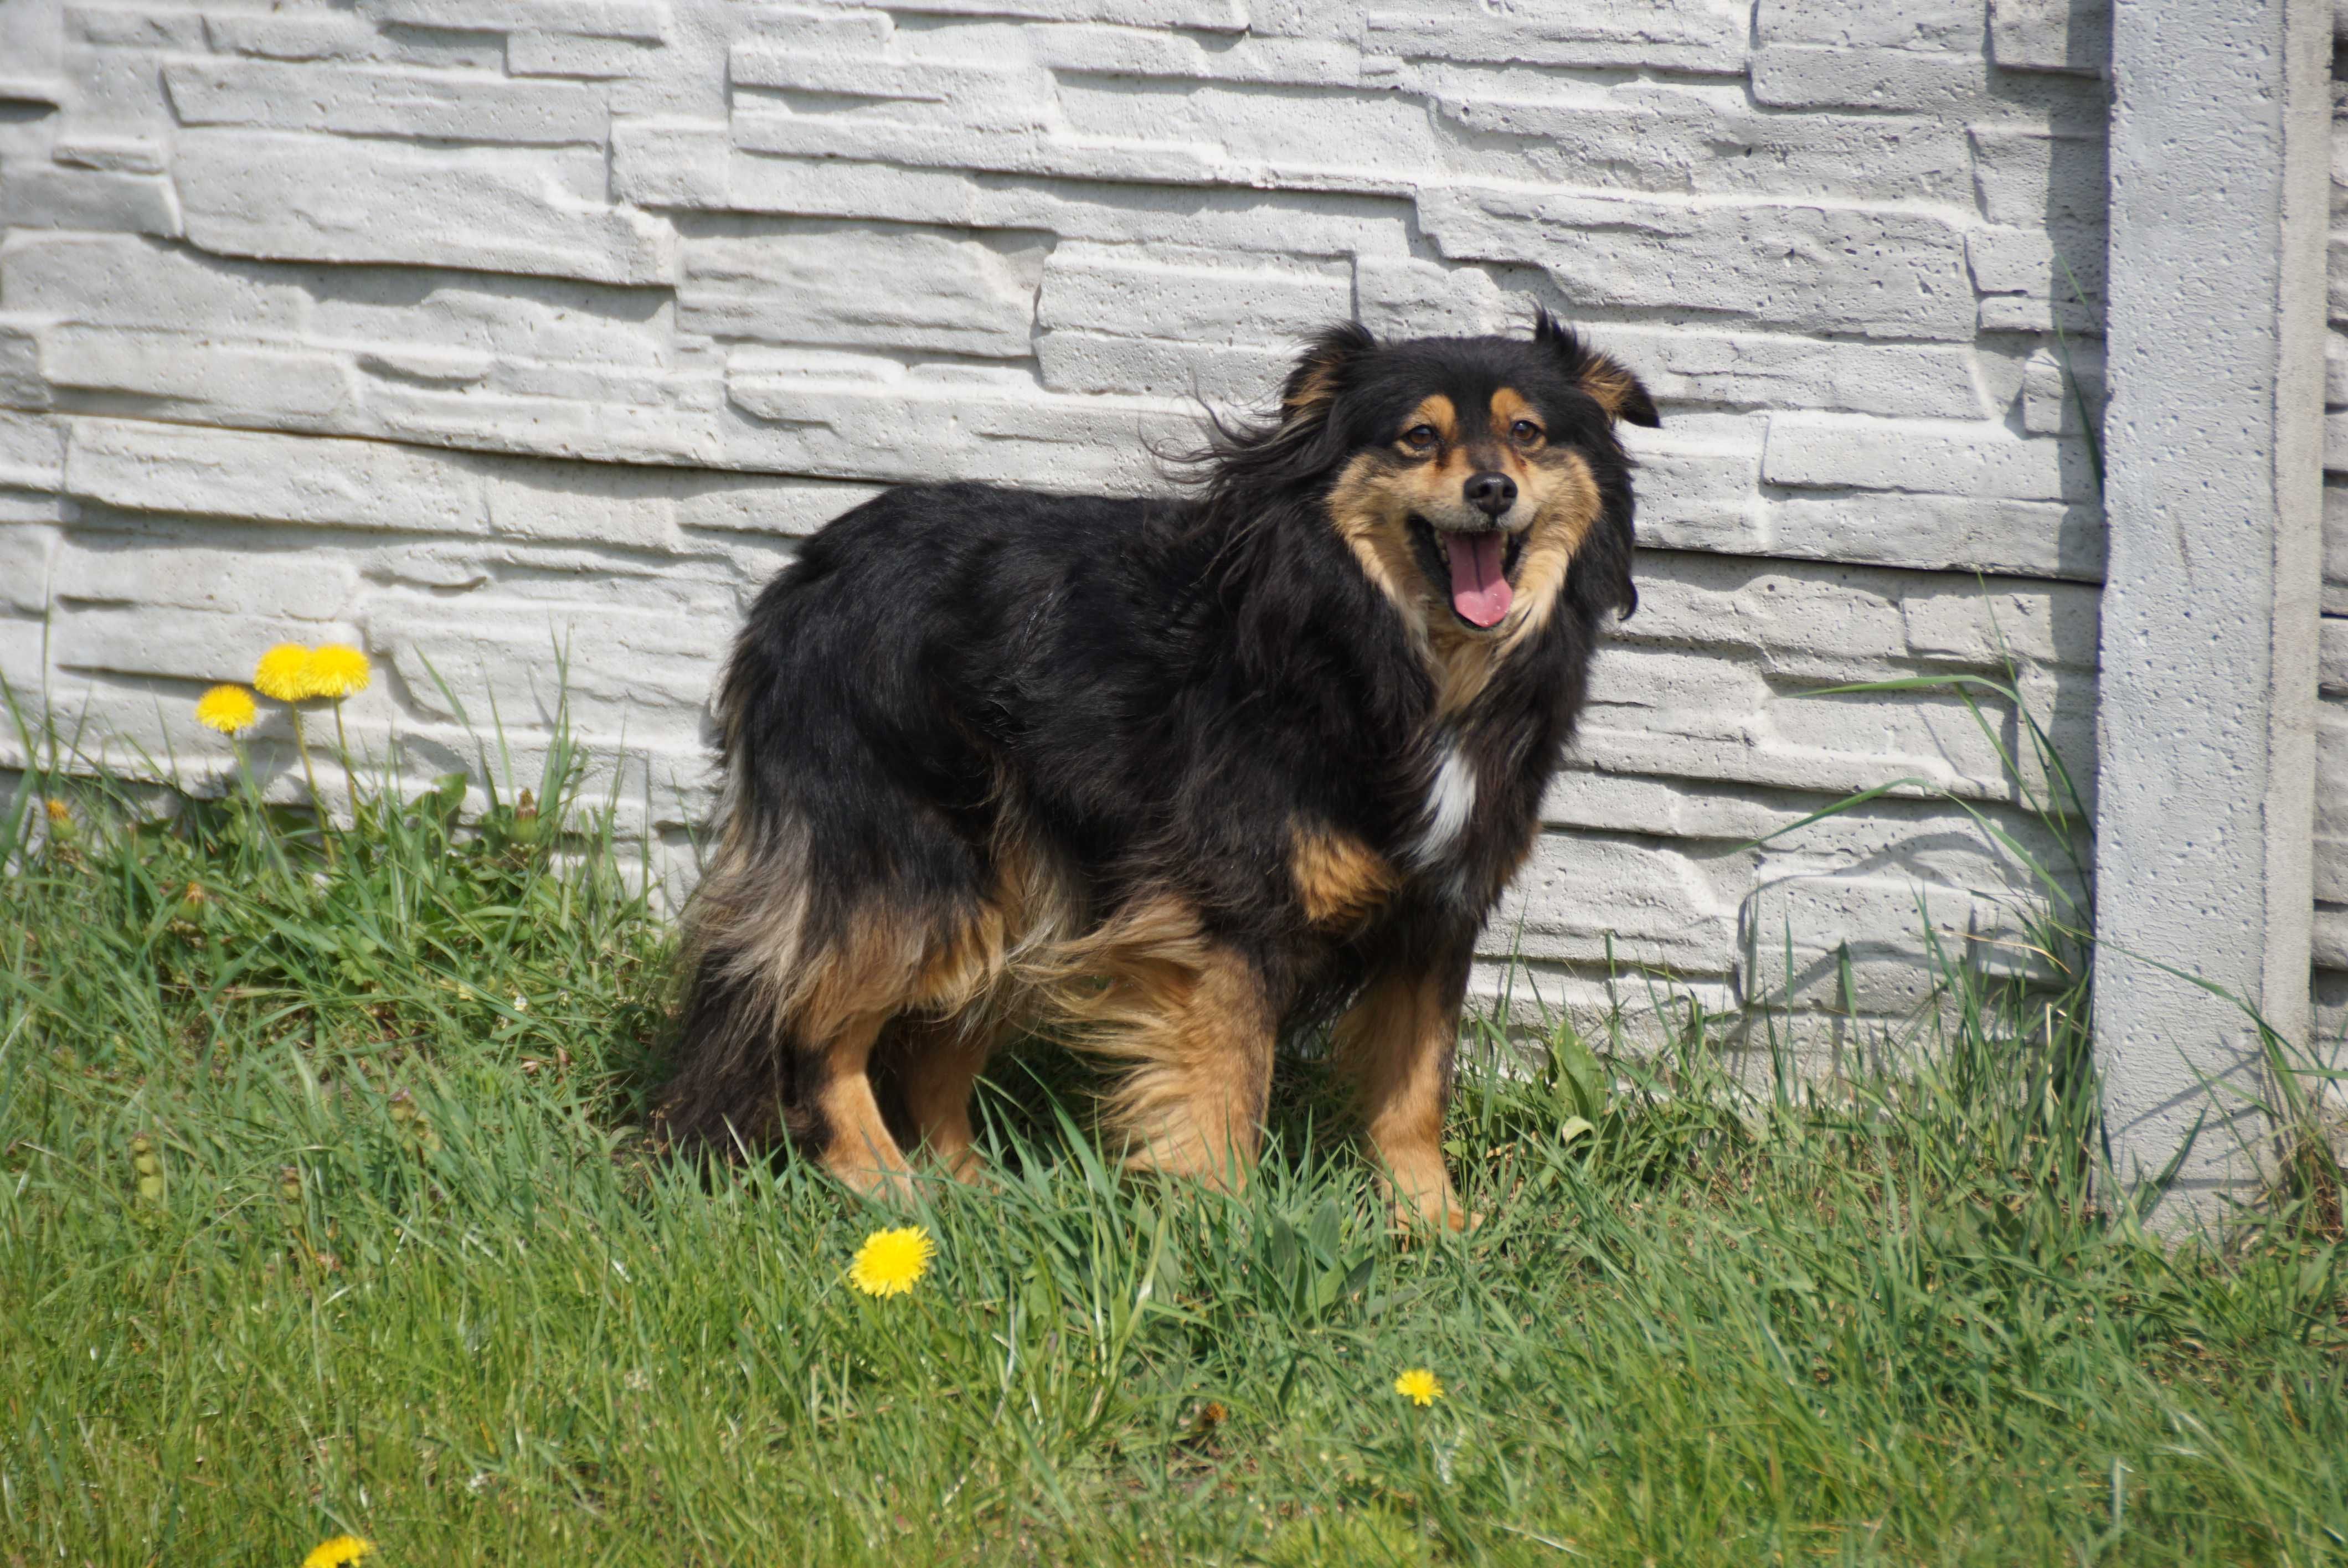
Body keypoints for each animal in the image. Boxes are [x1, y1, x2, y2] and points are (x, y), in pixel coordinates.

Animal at [652, 314, 1662, 1220]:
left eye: (1529, 433)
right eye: (1419, 436)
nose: (1492, 489)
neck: (1393, 651)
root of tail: (800, 579)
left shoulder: (1439, 913)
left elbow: (1417, 1094)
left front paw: (1436, 1230)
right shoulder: (1229, 916)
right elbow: (1228, 1093)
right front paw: (1229, 1234)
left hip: (1026, 884)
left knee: (934, 1045)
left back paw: (973, 1198)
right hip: (913, 867)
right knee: (807, 1024)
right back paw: (891, 1192)